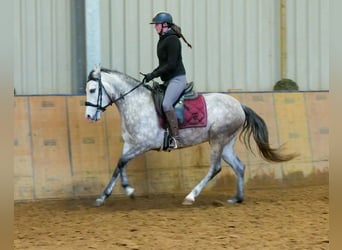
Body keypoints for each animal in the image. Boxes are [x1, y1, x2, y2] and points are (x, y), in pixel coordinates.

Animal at [83, 66, 296, 205]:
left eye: (92, 90)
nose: (89, 116)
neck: (136, 103)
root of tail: (239, 105)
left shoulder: (143, 144)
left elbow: (122, 162)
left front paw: (126, 190)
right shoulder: (130, 143)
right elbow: (120, 165)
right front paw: (108, 194)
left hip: (217, 140)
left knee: (215, 168)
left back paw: (191, 196)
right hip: (226, 143)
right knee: (239, 166)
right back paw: (237, 198)